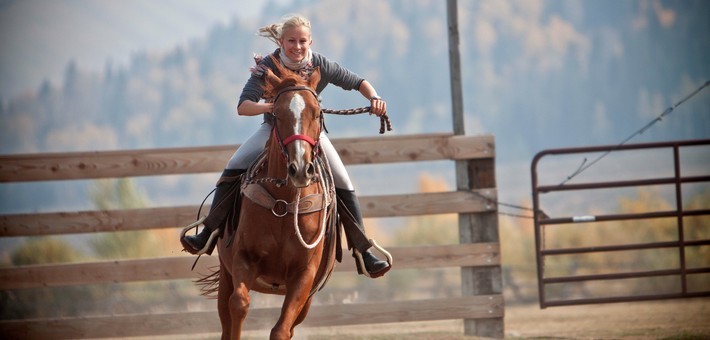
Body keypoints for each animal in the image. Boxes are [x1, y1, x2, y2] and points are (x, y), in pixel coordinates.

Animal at [206, 59, 340, 338]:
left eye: (316, 113)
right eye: (277, 114)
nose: (300, 169)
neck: (284, 204)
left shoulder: (304, 277)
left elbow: (281, 329)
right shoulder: (242, 260)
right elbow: (239, 305)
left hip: (307, 300)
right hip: (225, 275)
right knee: (226, 317)